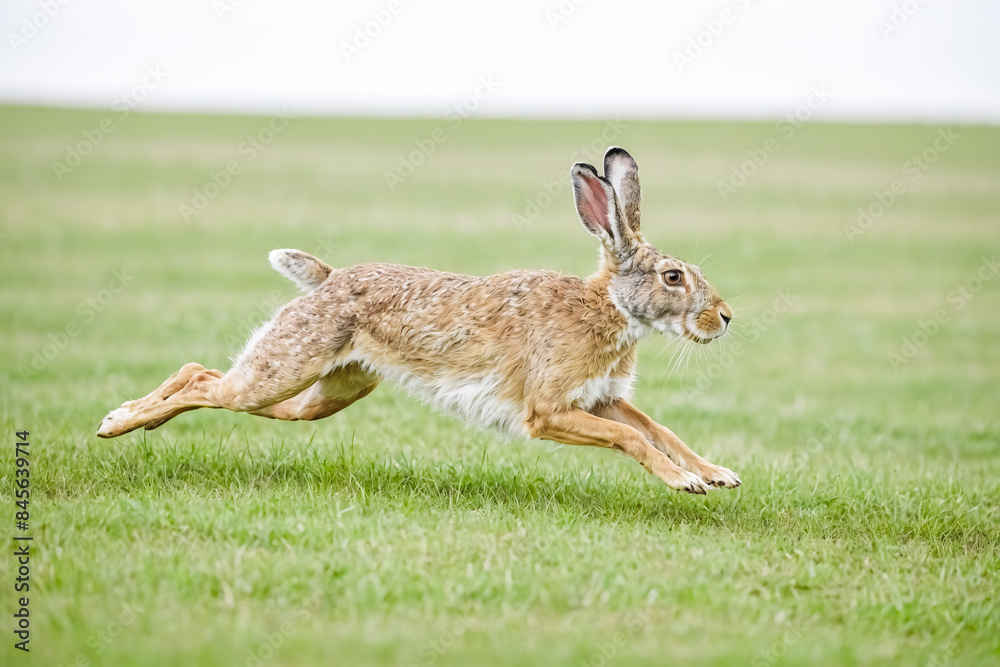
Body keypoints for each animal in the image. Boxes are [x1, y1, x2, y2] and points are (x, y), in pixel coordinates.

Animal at [98, 146, 740, 494]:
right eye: (673, 278)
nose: (725, 318)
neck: (609, 307)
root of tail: (328, 280)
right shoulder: (549, 411)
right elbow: (631, 437)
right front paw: (685, 483)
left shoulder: (600, 399)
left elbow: (659, 430)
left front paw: (717, 475)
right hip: (285, 368)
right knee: (209, 383)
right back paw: (116, 424)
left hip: (328, 390)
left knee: (205, 375)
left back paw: (129, 418)